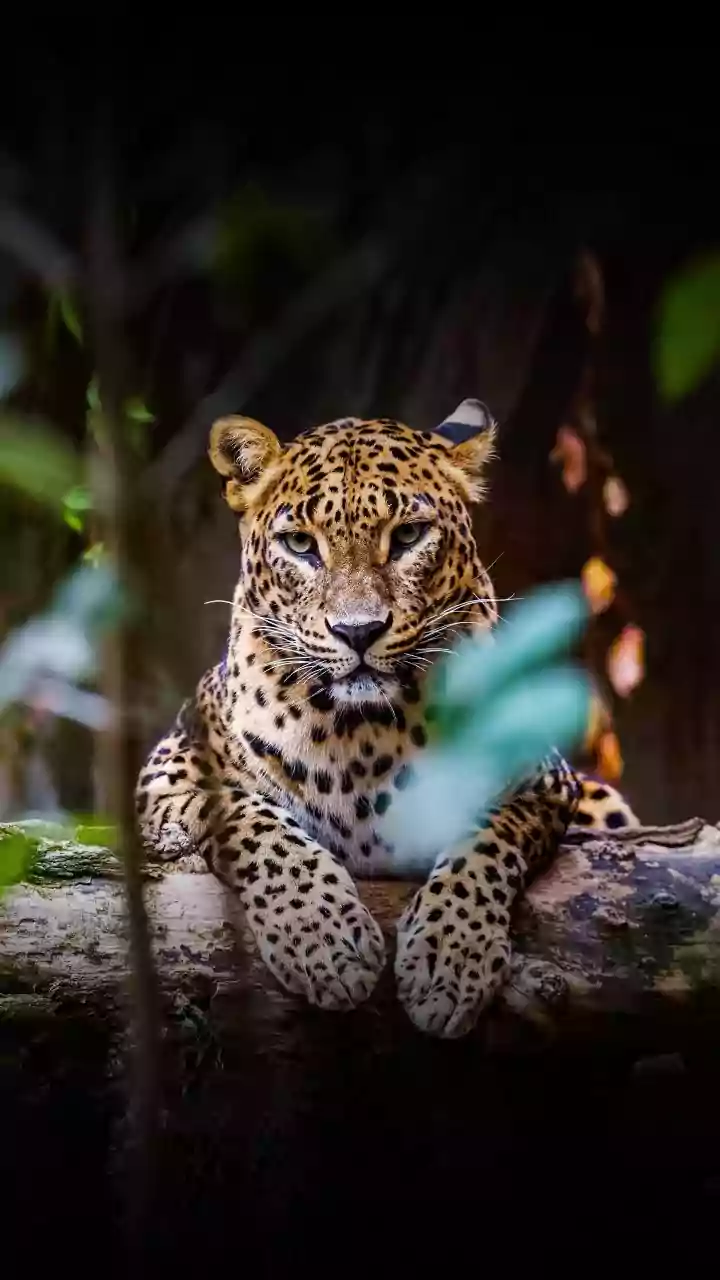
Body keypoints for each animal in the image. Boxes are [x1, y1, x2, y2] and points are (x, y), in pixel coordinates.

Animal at [135, 398, 638, 1039]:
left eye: (407, 536)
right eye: (300, 544)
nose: (359, 631)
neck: (361, 731)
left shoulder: (543, 781)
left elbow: (485, 839)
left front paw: (450, 960)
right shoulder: (169, 772)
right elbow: (256, 823)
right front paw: (324, 940)